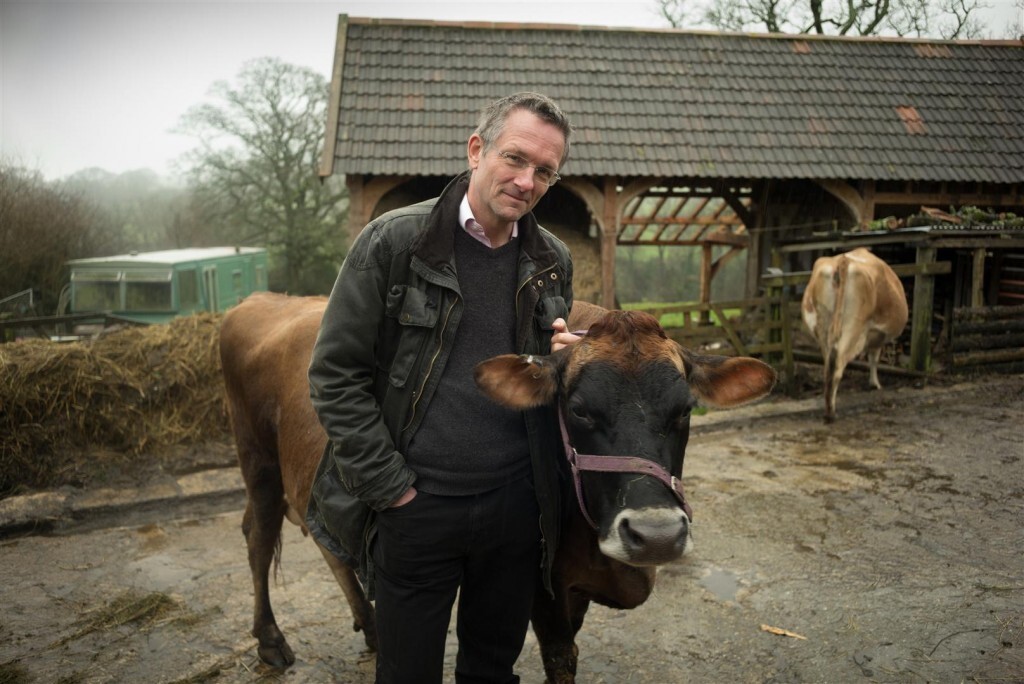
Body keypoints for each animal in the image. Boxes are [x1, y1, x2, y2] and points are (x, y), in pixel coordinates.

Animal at [218, 290, 774, 679]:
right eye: (577, 410)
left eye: (685, 410)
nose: (656, 535)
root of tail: (260, 299)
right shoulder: (541, 581)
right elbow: (562, 657)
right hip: (256, 457)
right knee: (258, 536)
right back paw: (270, 640)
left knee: (329, 545)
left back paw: (373, 630)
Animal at [802, 246, 909, 421]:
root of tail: (843, 260)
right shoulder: (876, 335)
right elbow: (874, 357)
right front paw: (874, 384)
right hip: (853, 328)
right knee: (838, 365)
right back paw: (831, 413)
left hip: (823, 328)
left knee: (828, 366)